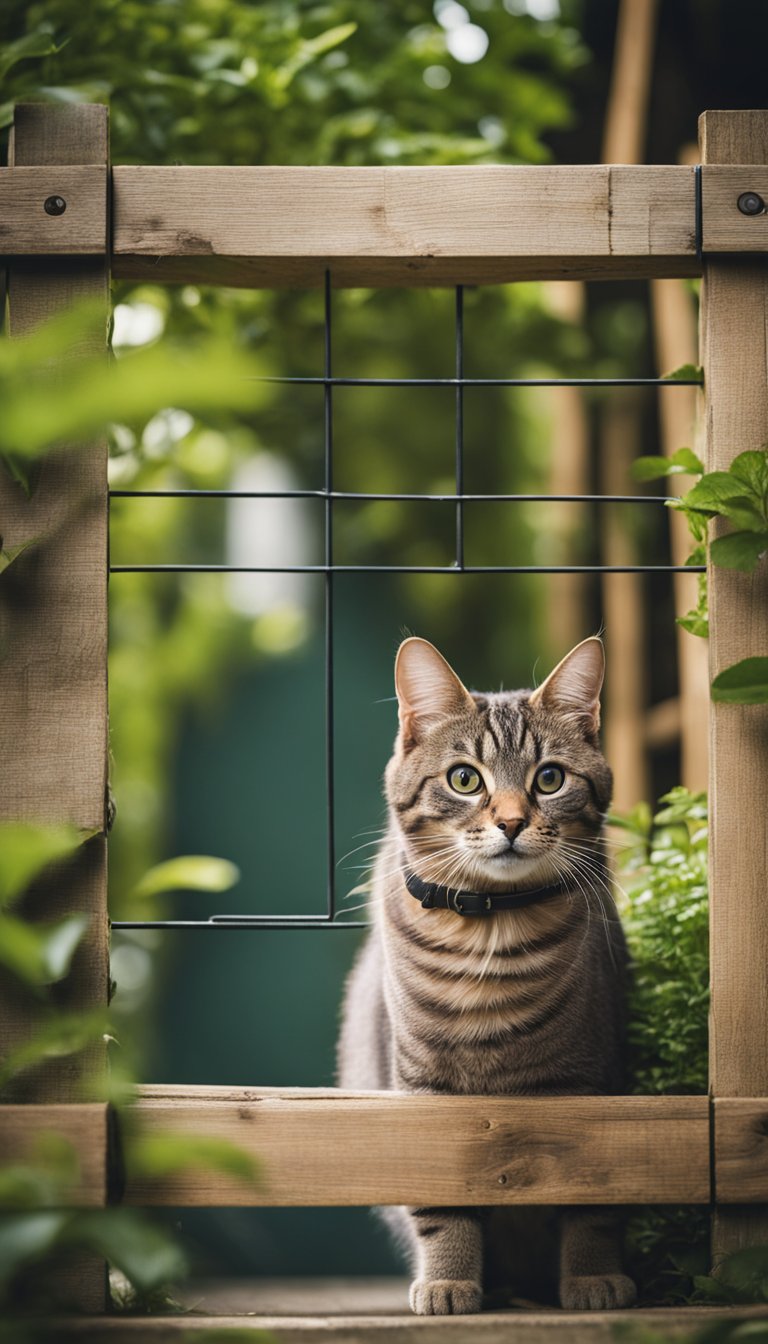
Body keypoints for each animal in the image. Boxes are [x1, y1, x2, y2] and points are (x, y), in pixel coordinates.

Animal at [337, 637, 637, 1311]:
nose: (511, 822)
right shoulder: (422, 1086)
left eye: (549, 778)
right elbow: (443, 1199)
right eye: (465, 779)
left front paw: (591, 1277)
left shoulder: (592, 1078)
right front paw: (448, 1279)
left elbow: (591, 1198)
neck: (491, 934)